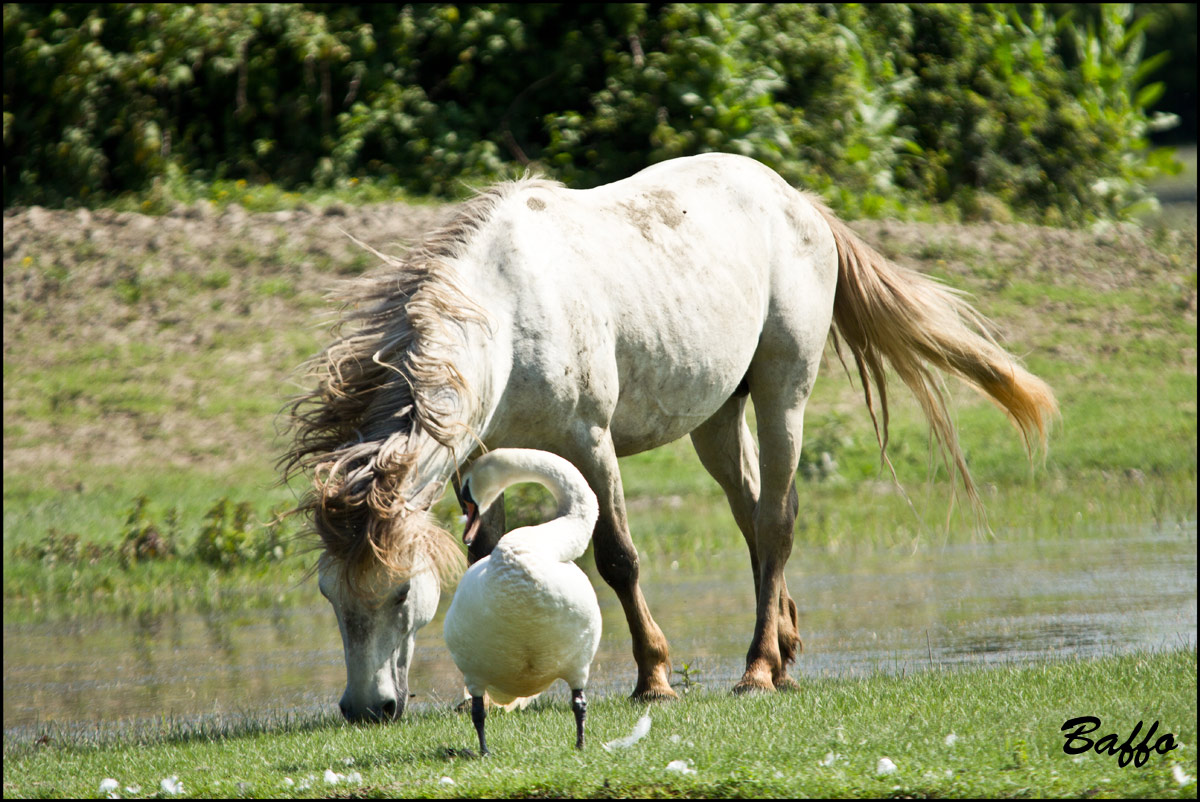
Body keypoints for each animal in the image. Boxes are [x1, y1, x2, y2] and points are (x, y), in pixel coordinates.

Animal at [280, 151, 1051, 720]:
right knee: (752, 520)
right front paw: (502, 696)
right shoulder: (485, 456)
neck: (506, 314)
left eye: (401, 593)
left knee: (776, 521)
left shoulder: (589, 442)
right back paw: (784, 649)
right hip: (717, 419)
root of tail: (796, 199)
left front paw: (654, 677)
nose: (366, 708)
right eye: (330, 596)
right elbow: (487, 557)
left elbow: (618, 558)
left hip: (784, 393)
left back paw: (759, 669)